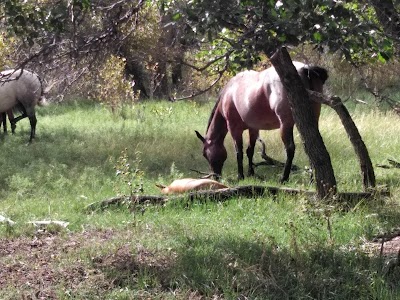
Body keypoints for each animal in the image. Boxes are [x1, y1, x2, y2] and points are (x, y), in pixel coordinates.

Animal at [195, 61, 328, 183]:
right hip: (310, 120)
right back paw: (312, 179)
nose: (215, 176)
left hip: (286, 124)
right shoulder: (253, 128)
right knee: (311, 146)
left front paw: (240, 176)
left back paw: (284, 178)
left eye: (204, 154)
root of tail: (305, 68)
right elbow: (250, 151)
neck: (229, 93)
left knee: (290, 148)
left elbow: (239, 152)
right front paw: (251, 173)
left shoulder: (234, 128)